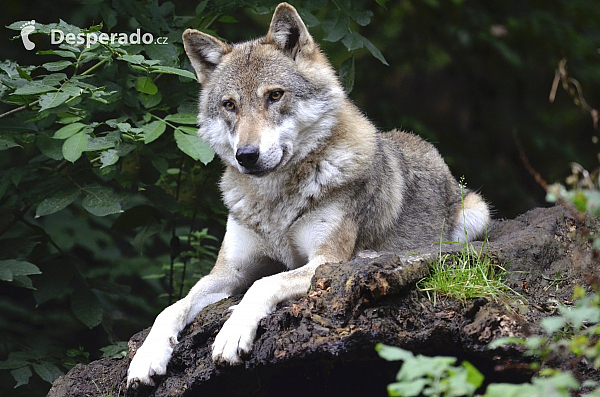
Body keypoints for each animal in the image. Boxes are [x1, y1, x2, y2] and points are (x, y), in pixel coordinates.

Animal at [125, 2, 488, 386]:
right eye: (229, 105)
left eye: (274, 95)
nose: (246, 155)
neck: (274, 201)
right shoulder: (227, 272)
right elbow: (172, 307)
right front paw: (147, 356)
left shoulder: (323, 261)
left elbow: (262, 284)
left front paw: (232, 333)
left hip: (475, 214)